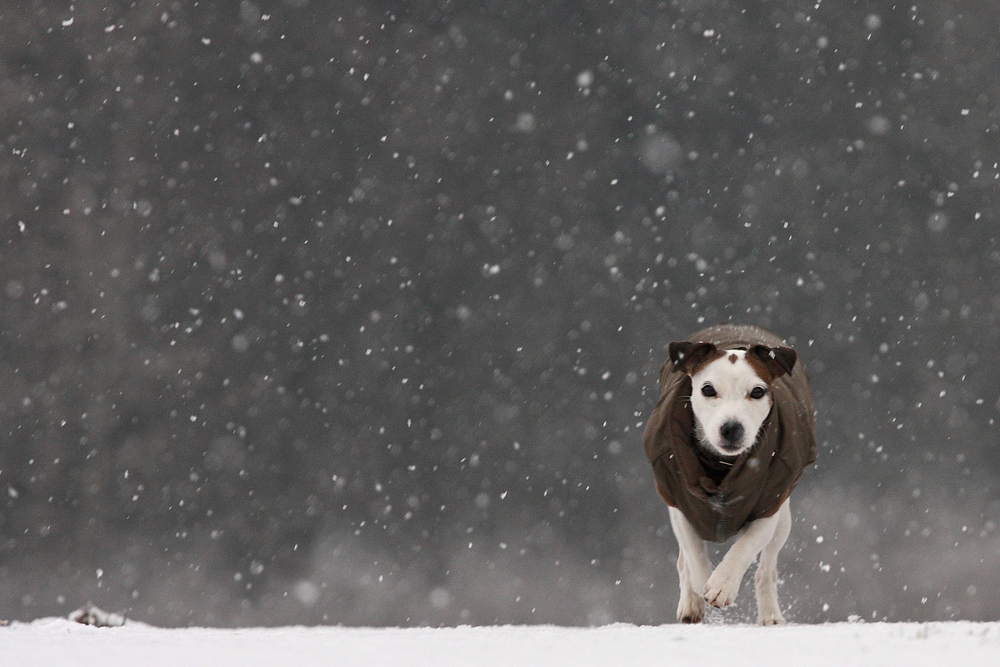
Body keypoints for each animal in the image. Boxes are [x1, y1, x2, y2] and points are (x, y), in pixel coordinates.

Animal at [644, 324, 816, 628]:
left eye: (758, 391)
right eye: (707, 389)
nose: (731, 428)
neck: (722, 465)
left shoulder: (769, 506)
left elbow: (745, 546)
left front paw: (723, 583)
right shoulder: (679, 504)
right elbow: (694, 555)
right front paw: (704, 584)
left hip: (784, 522)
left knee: (766, 569)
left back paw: (770, 614)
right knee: (683, 560)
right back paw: (691, 603)